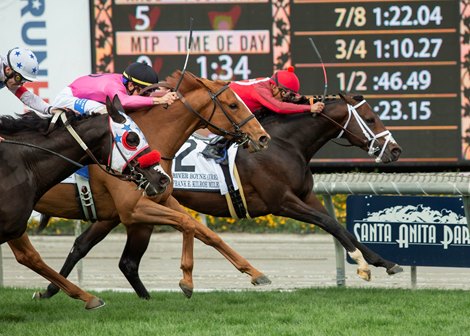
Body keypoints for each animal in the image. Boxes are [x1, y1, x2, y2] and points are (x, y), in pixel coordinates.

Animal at [34, 70, 272, 300]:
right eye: (233, 105)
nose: (262, 137)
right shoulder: (132, 210)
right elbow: (187, 224)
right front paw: (187, 281)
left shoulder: (162, 198)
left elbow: (204, 232)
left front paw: (255, 273)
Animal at [38, 92, 402, 300]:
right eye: (370, 118)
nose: (395, 150)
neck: (285, 144)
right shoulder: (280, 201)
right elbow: (331, 223)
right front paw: (362, 264)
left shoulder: (305, 196)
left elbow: (338, 225)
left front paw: (383, 261)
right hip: (133, 210)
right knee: (112, 255)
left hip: (116, 213)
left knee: (88, 248)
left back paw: (53, 290)